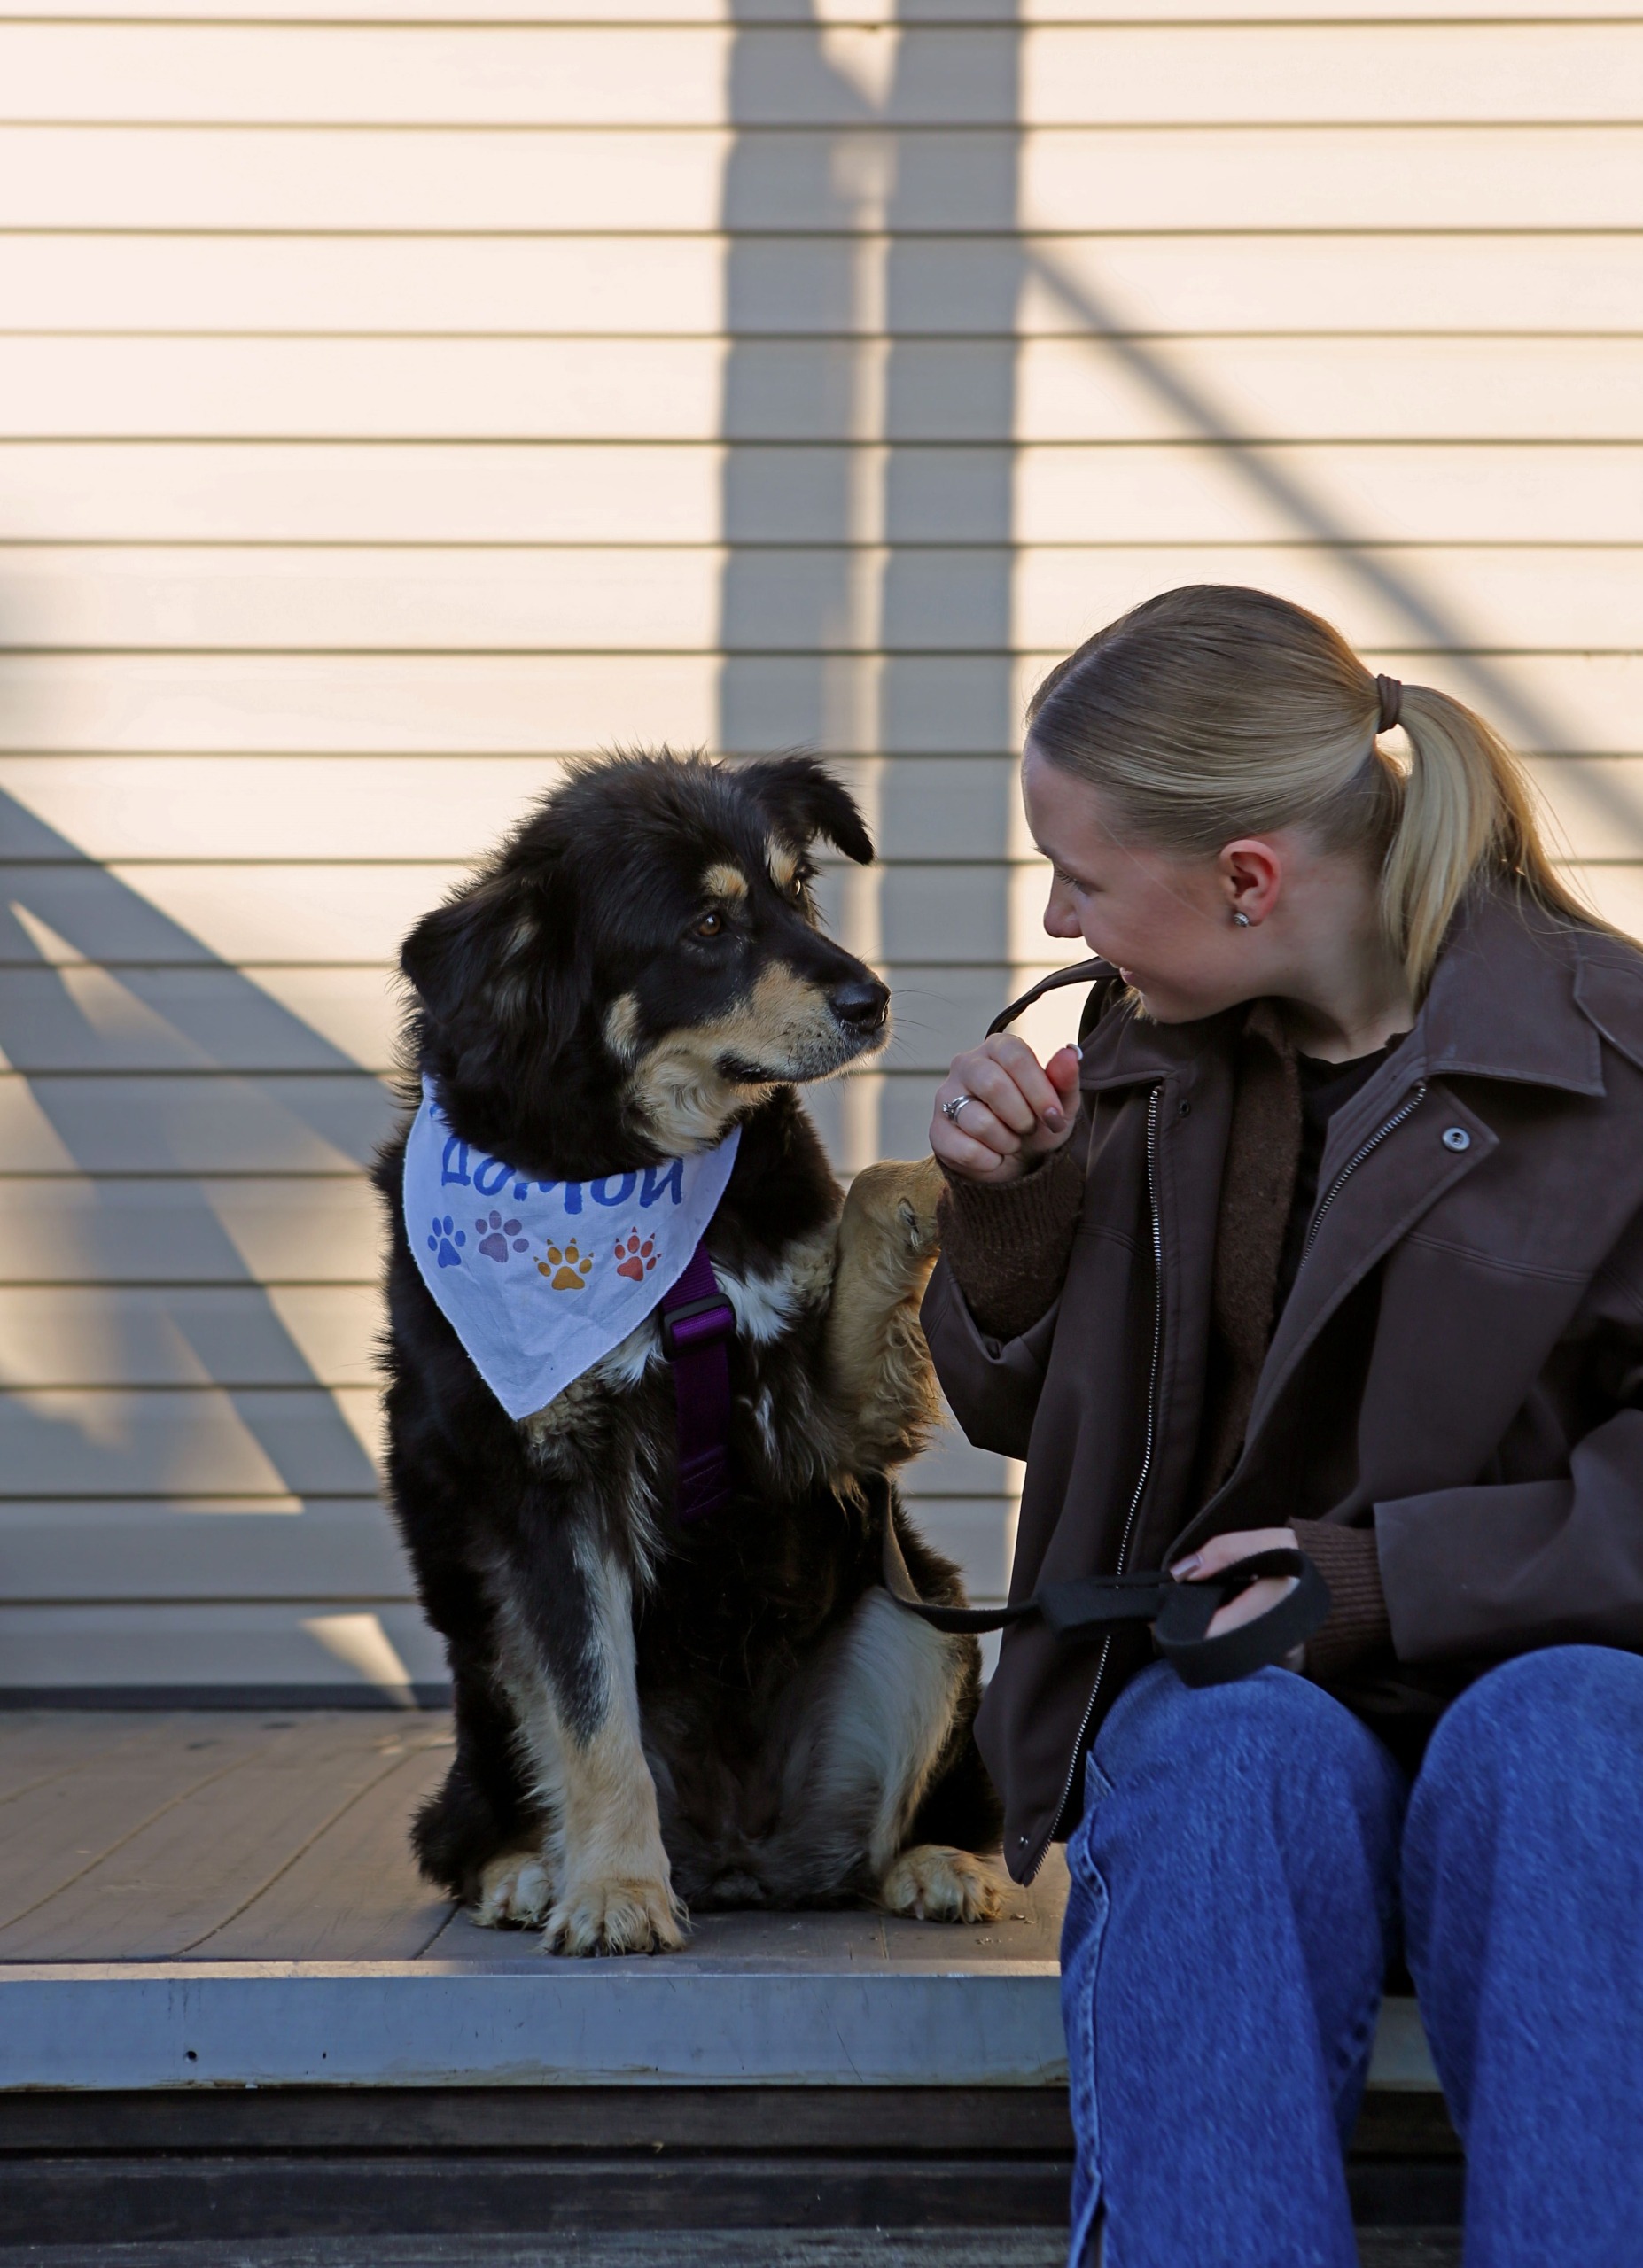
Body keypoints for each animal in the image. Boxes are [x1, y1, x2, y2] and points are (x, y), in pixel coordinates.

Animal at [373, 750, 1003, 1954]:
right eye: (709, 924)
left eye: (796, 892)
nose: (872, 998)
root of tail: (745, 1857)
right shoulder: (552, 1484)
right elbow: (592, 1713)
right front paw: (617, 1888)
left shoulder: (816, 1432)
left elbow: (869, 1189)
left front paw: (946, 1169)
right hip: (483, 1660)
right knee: (459, 1824)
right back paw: (533, 1870)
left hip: (922, 1610)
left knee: (892, 1825)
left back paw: (941, 1856)